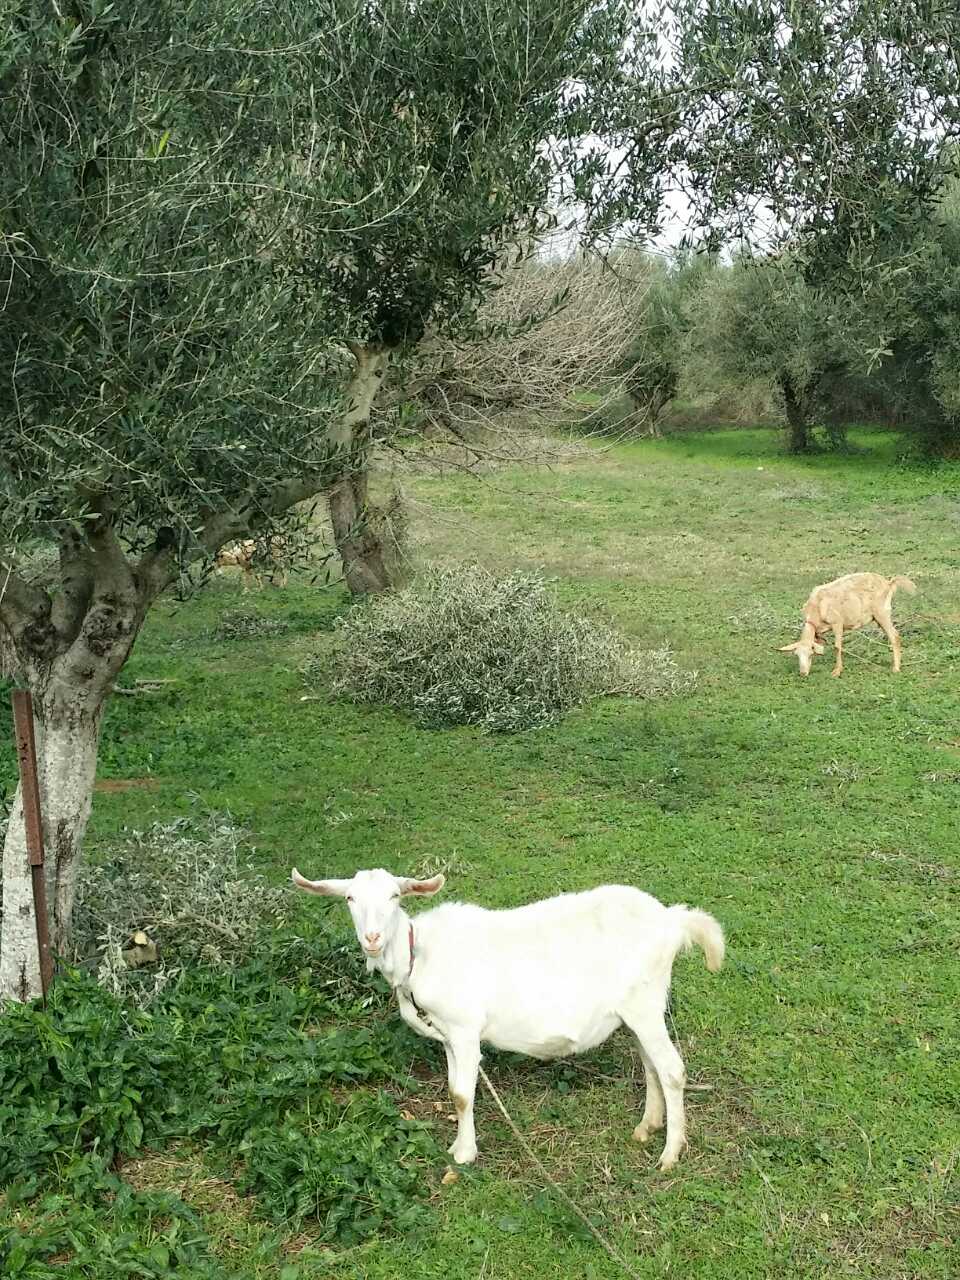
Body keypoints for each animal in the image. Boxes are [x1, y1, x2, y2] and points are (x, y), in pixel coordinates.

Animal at [289, 865, 727, 1172]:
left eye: (395, 896)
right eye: (349, 898)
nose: (372, 939)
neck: (419, 955)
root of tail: (672, 920)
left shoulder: (465, 1030)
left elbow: (462, 1094)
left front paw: (464, 1153)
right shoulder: (449, 1036)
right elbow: (454, 1089)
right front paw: (459, 1144)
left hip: (644, 1004)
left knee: (671, 1069)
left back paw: (670, 1154)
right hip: (638, 1011)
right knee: (650, 1064)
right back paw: (647, 1127)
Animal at [783, 570, 916, 675]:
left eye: (810, 654)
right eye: (797, 655)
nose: (803, 673)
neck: (816, 608)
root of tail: (889, 583)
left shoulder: (837, 623)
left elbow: (837, 647)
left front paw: (837, 671)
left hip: (882, 613)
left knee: (894, 636)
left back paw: (896, 668)